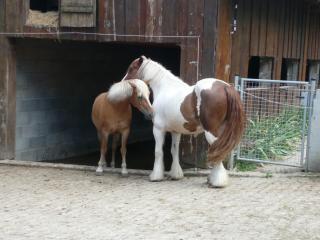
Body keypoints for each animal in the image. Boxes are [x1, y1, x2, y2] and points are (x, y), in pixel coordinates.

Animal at [124, 56, 244, 188]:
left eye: (131, 68)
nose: (123, 82)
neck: (165, 89)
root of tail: (225, 87)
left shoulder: (158, 129)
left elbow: (158, 152)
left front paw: (155, 176)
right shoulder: (175, 132)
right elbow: (174, 151)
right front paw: (176, 175)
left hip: (211, 131)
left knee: (217, 151)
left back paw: (217, 182)